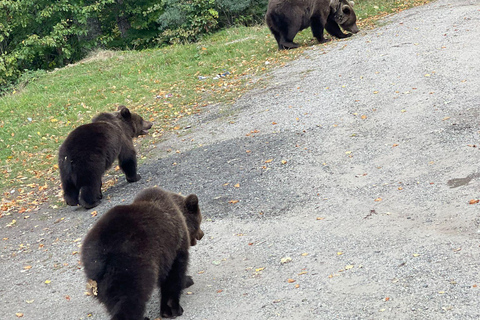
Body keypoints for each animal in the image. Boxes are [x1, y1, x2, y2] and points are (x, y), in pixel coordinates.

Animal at [81, 186, 204, 318]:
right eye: (200, 220)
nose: (201, 234)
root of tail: (97, 256)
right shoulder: (173, 245)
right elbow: (174, 275)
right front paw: (174, 307)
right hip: (130, 265)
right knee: (130, 299)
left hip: (99, 282)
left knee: (112, 301)